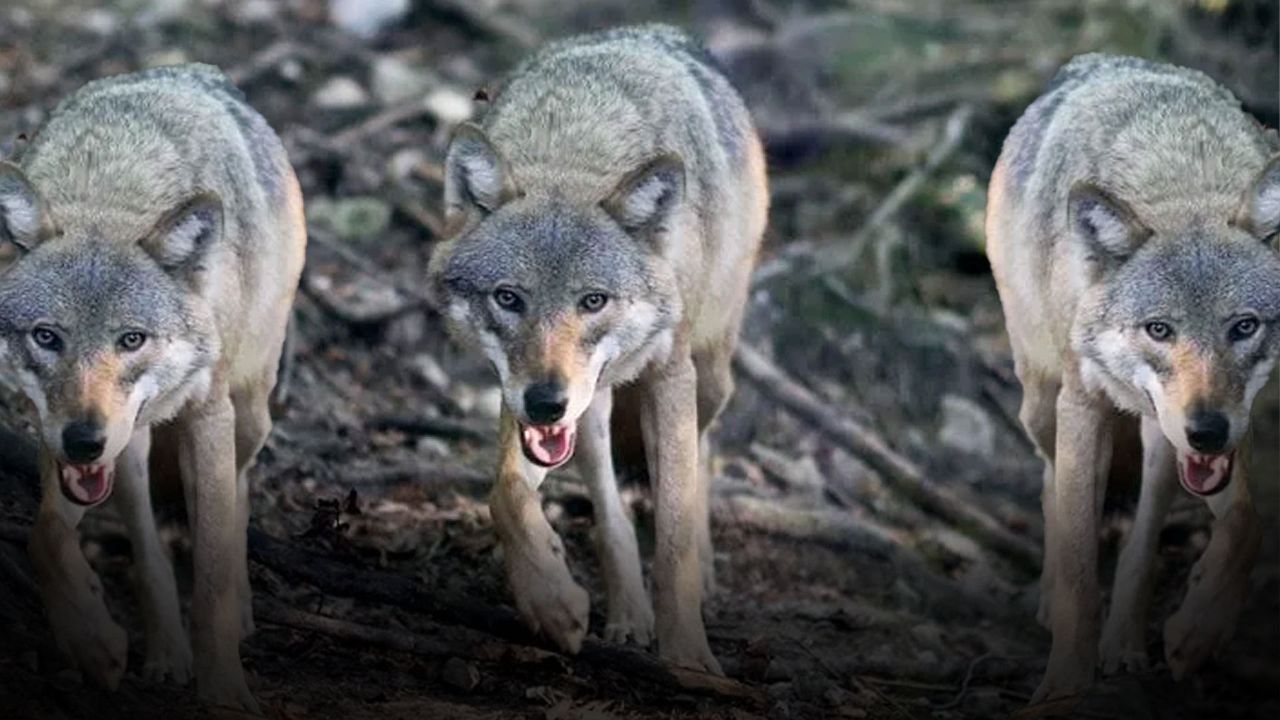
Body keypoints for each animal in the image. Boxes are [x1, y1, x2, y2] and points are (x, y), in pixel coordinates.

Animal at [0, 64, 307, 707]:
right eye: (47, 337)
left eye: (131, 339)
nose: (83, 440)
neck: (110, 194)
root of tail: (200, 71)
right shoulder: (52, 435)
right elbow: (45, 537)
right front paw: (95, 643)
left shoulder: (208, 418)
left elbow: (211, 575)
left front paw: (225, 690)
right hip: (130, 448)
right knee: (147, 543)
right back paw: (165, 652)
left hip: (249, 412)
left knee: (239, 493)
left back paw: (241, 610)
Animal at [430, 23, 768, 671]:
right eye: (508, 298)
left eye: (593, 300)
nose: (546, 402)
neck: (575, 147)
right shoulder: (522, 399)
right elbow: (506, 493)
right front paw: (552, 603)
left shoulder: (670, 376)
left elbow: (674, 537)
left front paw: (689, 659)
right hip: (593, 408)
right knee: (610, 511)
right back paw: (629, 617)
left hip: (708, 376)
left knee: (698, 456)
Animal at [988, 54, 1280, 702]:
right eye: (1159, 329)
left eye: (1244, 326)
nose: (1207, 431)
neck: (1183, 183)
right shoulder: (1084, 407)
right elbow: (1079, 568)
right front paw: (1064, 687)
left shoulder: (1239, 428)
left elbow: (1249, 522)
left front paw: (1196, 633)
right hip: (1043, 403)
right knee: (1052, 484)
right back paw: (1050, 602)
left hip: (1161, 436)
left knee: (1144, 537)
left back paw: (1126, 641)